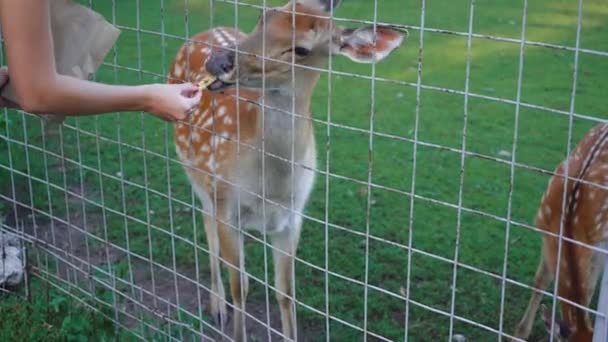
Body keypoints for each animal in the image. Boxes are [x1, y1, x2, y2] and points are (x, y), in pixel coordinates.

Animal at [169, 1, 406, 340]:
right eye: (264, 16)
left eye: (302, 49)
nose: (219, 62)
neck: (270, 187)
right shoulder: (226, 204)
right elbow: (240, 287)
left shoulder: (292, 217)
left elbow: (286, 293)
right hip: (196, 174)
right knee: (207, 226)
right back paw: (217, 307)